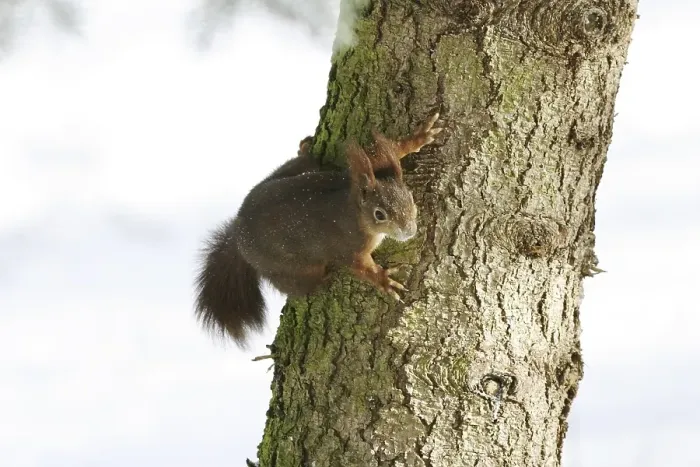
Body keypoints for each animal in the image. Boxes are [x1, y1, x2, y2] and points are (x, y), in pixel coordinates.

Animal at [194, 113, 442, 347]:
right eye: (379, 214)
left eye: (410, 197)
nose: (409, 231)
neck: (353, 208)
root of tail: (239, 234)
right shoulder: (351, 246)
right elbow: (361, 268)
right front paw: (384, 281)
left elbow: (379, 156)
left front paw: (417, 139)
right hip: (292, 267)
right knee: (300, 285)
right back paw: (323, 279)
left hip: (293, 173)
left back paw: (304, 149)